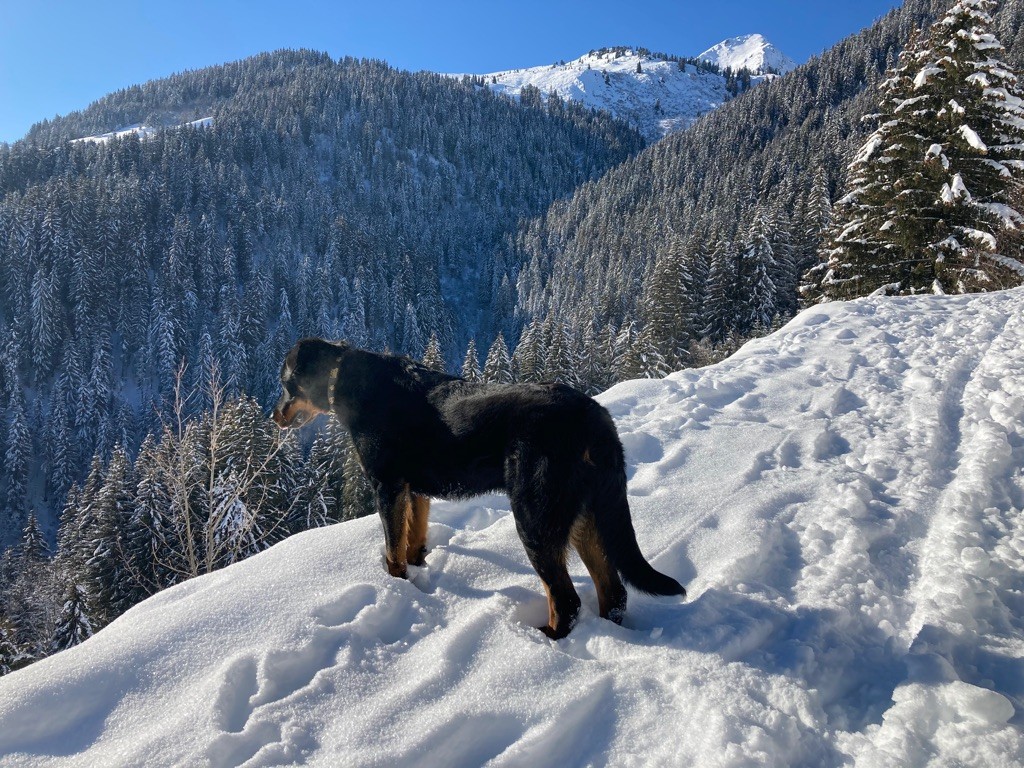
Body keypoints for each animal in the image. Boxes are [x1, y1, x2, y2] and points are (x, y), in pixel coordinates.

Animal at [274, 339, 688, 638]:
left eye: (284, 384)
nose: (274, 415)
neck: (344, 380)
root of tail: (595, 419)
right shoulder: (416, 491)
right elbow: (413, 540)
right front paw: (418, 575)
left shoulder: (388, 486)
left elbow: (393, 550)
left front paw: (396, 586)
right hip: (586, 515)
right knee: (613, 592)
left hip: (534, 517)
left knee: (566, 599)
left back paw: (543, 639)